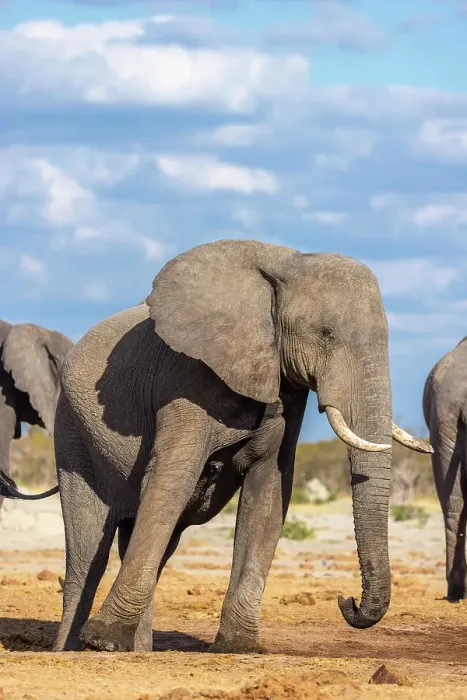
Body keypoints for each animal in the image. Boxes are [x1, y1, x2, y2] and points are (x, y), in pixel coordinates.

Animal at [52, 239, 432, 654]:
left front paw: (239, 646)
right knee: (88, 553)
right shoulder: (186, 378)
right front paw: (104, 641)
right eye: (326, 333)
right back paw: (72, 650)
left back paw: (139, 652)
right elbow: (172, 479)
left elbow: (270, 489)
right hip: (73, 434)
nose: (345, 600)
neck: (286, 265)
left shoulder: (284, 387)